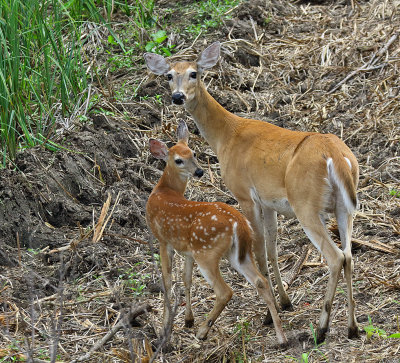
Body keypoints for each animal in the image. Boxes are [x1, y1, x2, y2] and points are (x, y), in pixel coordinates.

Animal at [146, 121, 288, 346]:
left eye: (193, 153)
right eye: (179, 159)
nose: (199, 172)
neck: (164, 191)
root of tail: (239, 223)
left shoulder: (163, 240)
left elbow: (167, 282)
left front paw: (164, 330)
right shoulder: (187, 251)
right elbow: (186, 279)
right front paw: (188, 320)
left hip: (207, 254)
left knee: (225, 291)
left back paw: (203, 330)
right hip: (237, 253)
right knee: (261, 281)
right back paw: (281, 336)